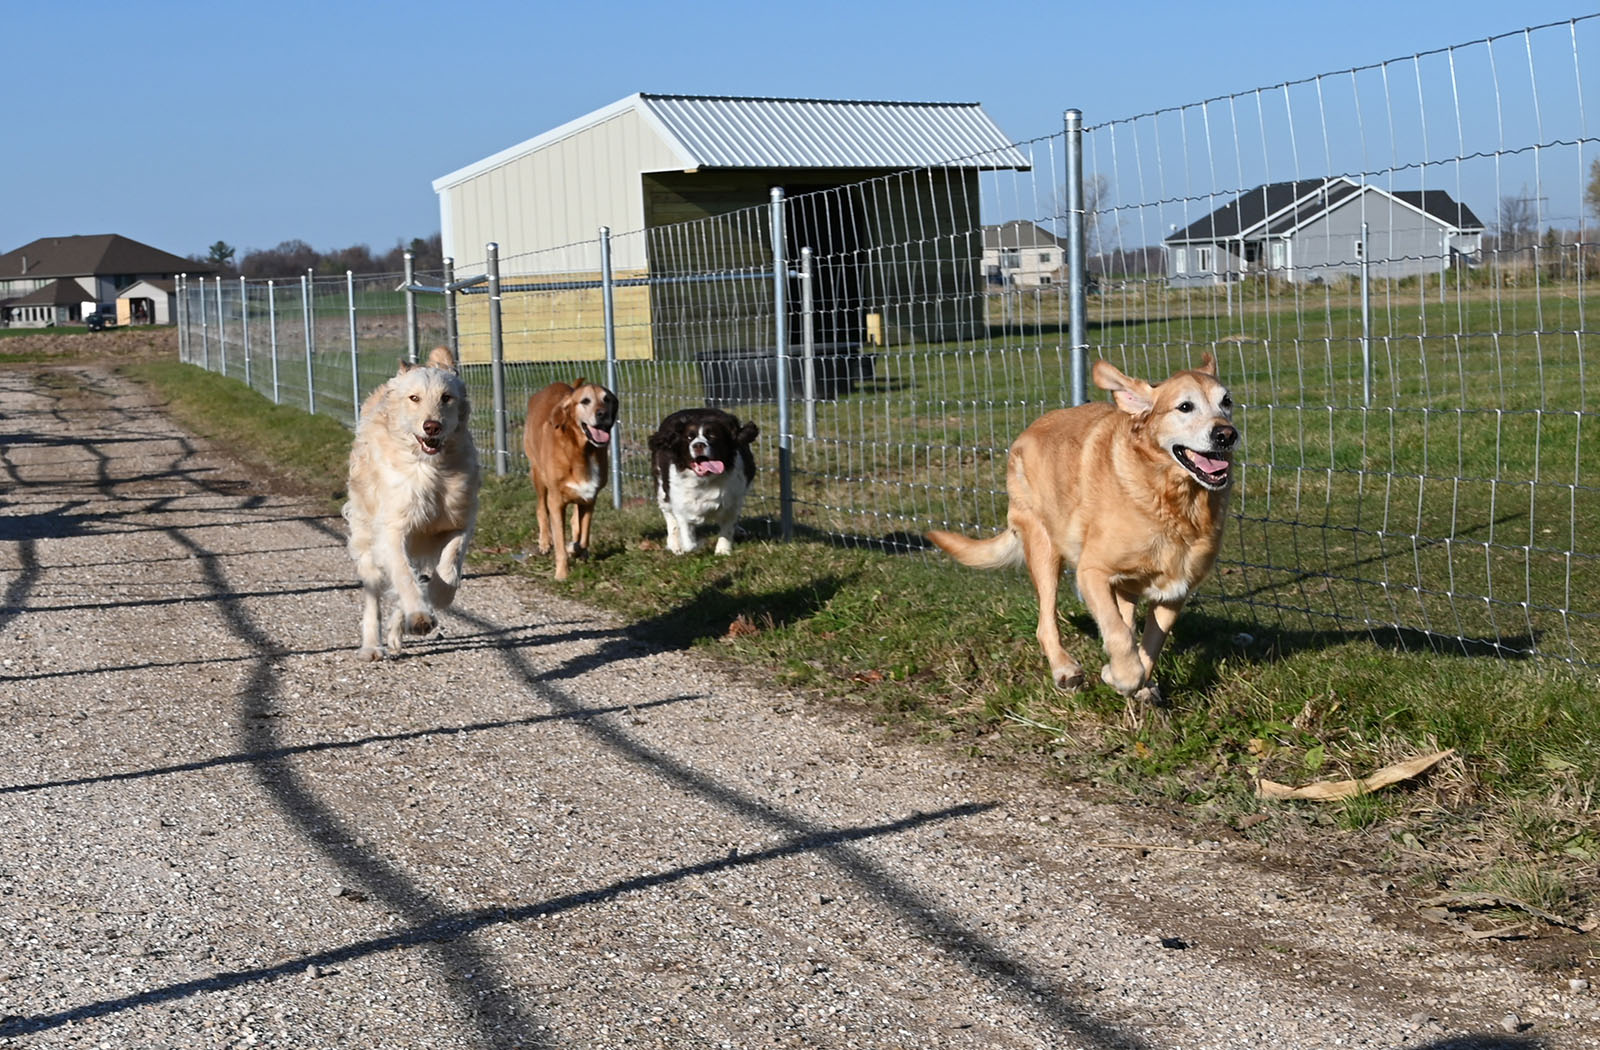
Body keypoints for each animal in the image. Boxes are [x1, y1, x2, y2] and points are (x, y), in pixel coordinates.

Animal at [344, 348, 480, 659]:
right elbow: (404, 576)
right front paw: (418, 615)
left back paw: (398, 629)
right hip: (366, 536)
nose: (432, 426)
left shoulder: (458, 522)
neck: (431, 469)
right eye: (414, 398)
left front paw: (439, 597)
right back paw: (373, 644)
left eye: (446, 397)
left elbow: (449, 566)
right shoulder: (393, 530)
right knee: (374, 593)